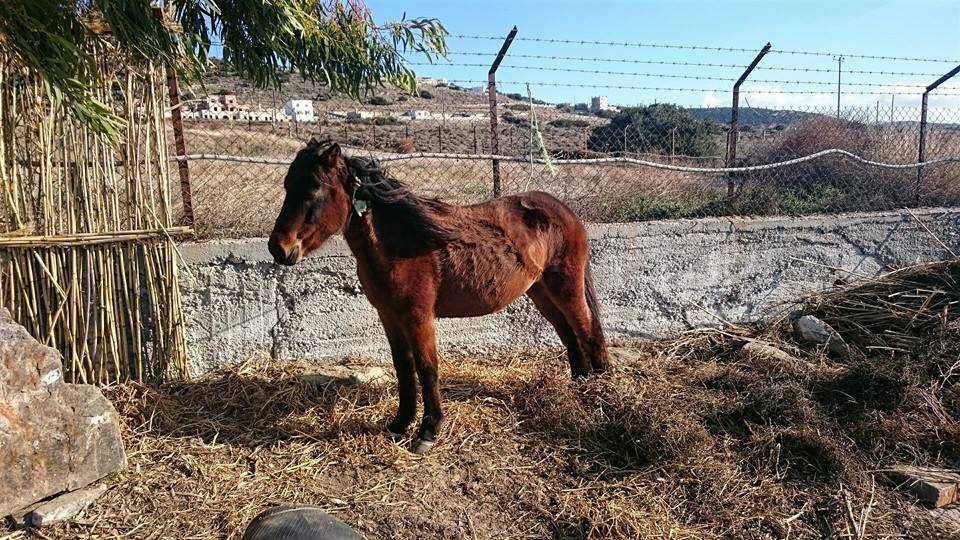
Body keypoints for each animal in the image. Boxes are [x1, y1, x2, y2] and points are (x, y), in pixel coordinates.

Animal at [266, 139, 608, 452]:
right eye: (287, 187)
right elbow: (404, 369)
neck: (402, 245)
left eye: (313, 190)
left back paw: (599, 388)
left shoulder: (419, 318)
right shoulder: (389, 317)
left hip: (565, 286)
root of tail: (562, 209)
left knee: (588, 329)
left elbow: (427, 370)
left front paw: (427, 432)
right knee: (568, 333)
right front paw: (400, 424)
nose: (278, 249)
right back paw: (578, 383)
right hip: (540, 291)